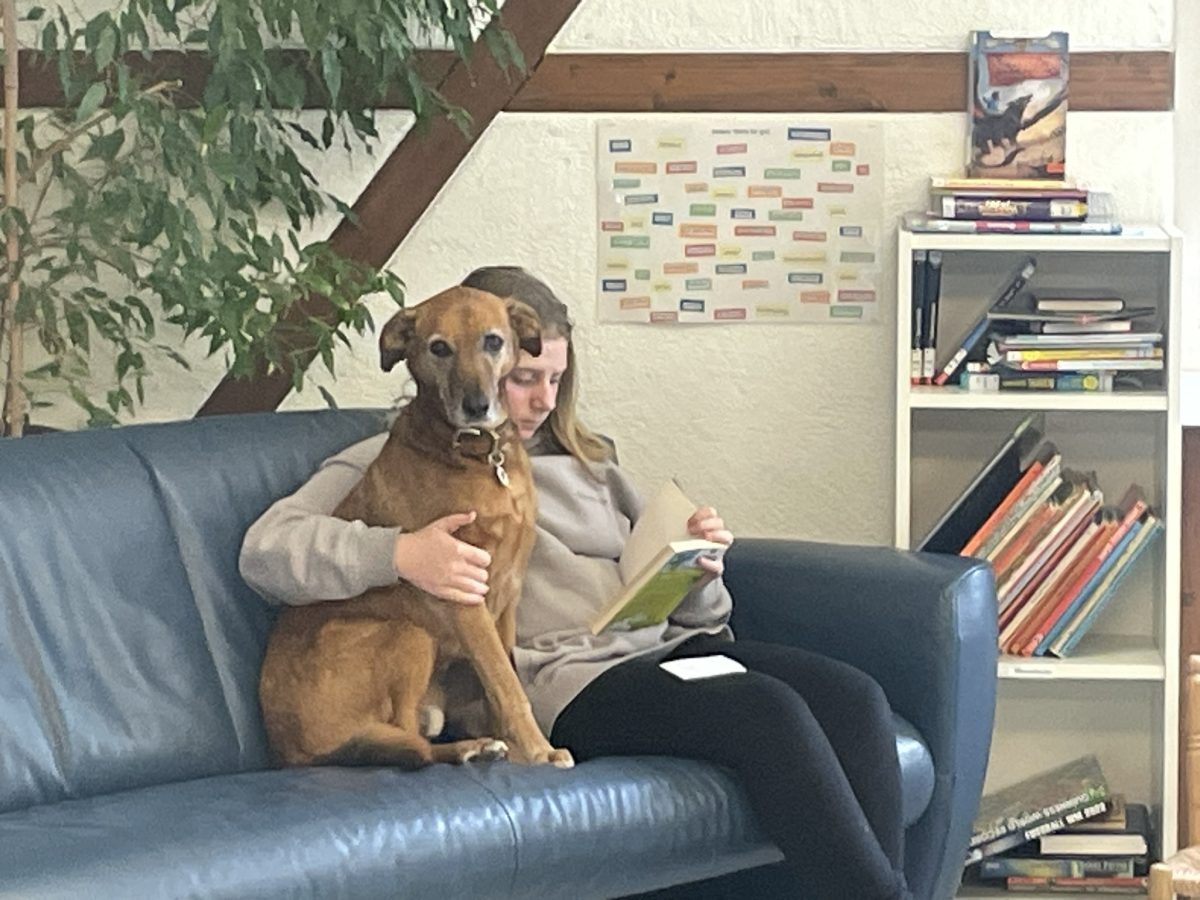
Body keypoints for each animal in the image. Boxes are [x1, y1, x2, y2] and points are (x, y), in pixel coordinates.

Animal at [259, 285, 574, 770]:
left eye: (493, 341)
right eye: (438, 348)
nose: (477, 407)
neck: (480, 456)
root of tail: (289, 751)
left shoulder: (508, 596)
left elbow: (501, 682)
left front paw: (522, 750)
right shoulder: (466, 595)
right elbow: (507, 685)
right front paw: (539, 751)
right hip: (407, 634)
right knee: (412, 743)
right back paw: (468, 748)